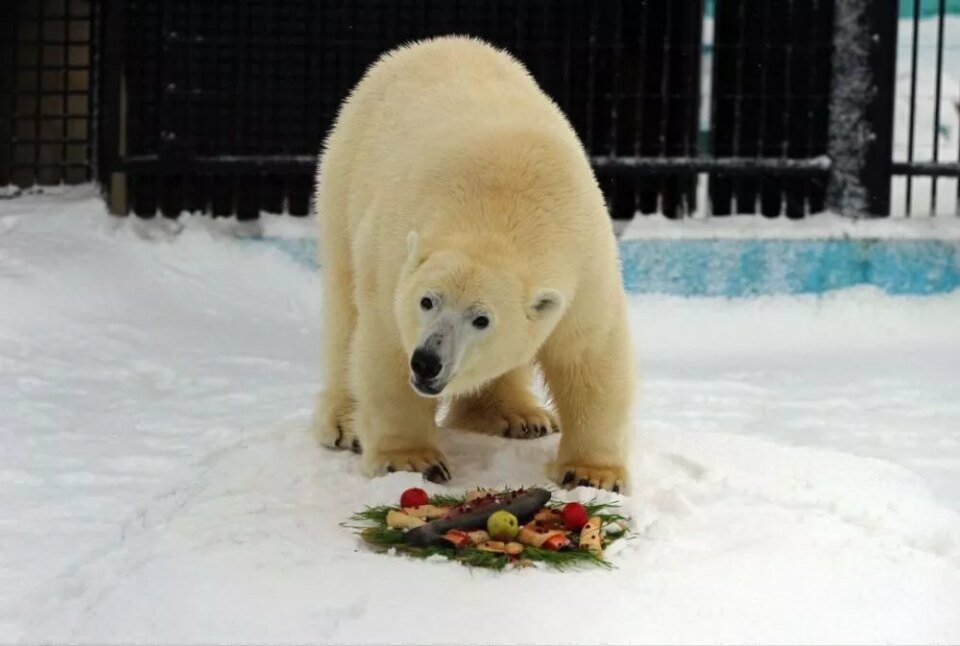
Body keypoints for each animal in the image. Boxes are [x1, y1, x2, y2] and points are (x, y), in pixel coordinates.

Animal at [312, 36, 632, 492]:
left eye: (482, 319)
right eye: (427, 301)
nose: (427, 362)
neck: (501, 210)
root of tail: (428, 44)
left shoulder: (585, 265)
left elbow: (589, 354)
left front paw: (593, 474)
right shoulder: (393, 262)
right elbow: (385, 350)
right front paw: (410, 460)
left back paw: (518, 416)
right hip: (344, 179)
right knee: (345, 310)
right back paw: (346, 424)